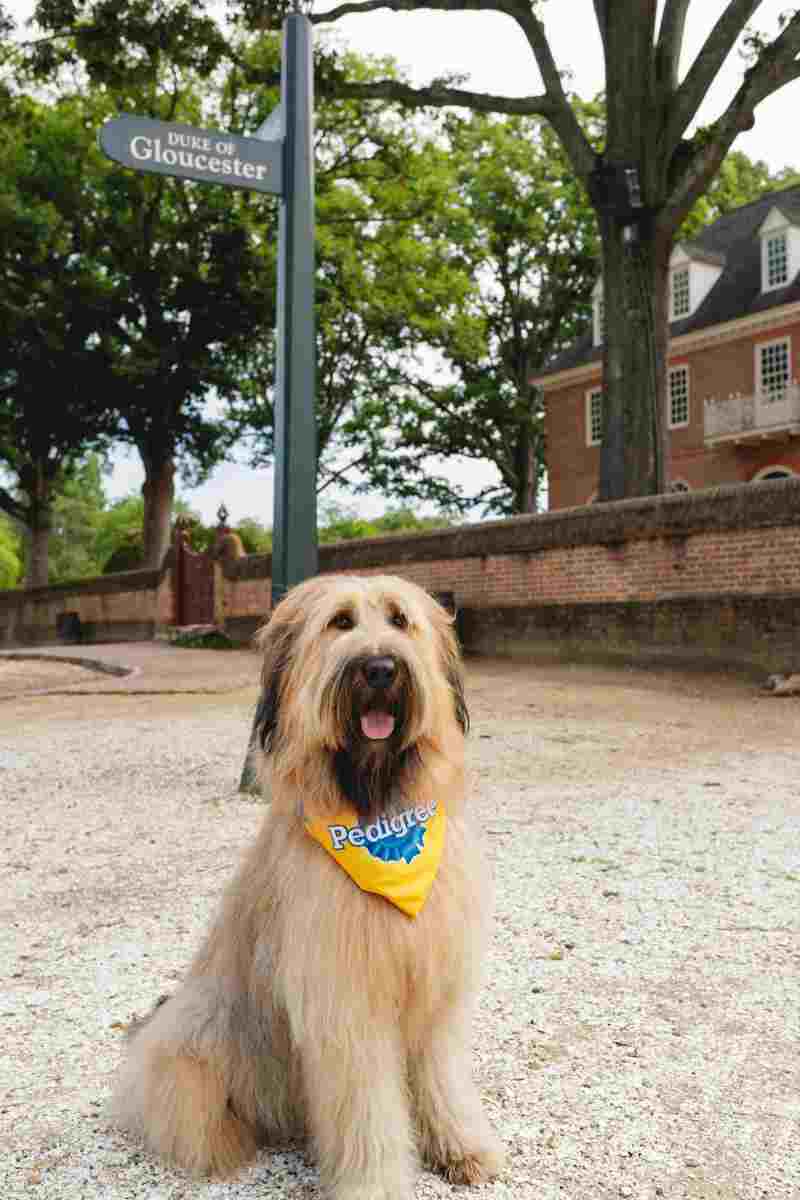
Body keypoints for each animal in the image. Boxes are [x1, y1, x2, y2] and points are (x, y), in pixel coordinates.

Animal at [115, 576, 503, 1195]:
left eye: (400, 620)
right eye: (340, 622)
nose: (379, 669)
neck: (378, 815)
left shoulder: (435, 995)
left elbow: (441, 1077)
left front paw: (462, 1147)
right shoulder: (344, 1006)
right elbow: (367, 1106)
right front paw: (377, 1183)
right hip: (194, 1064)